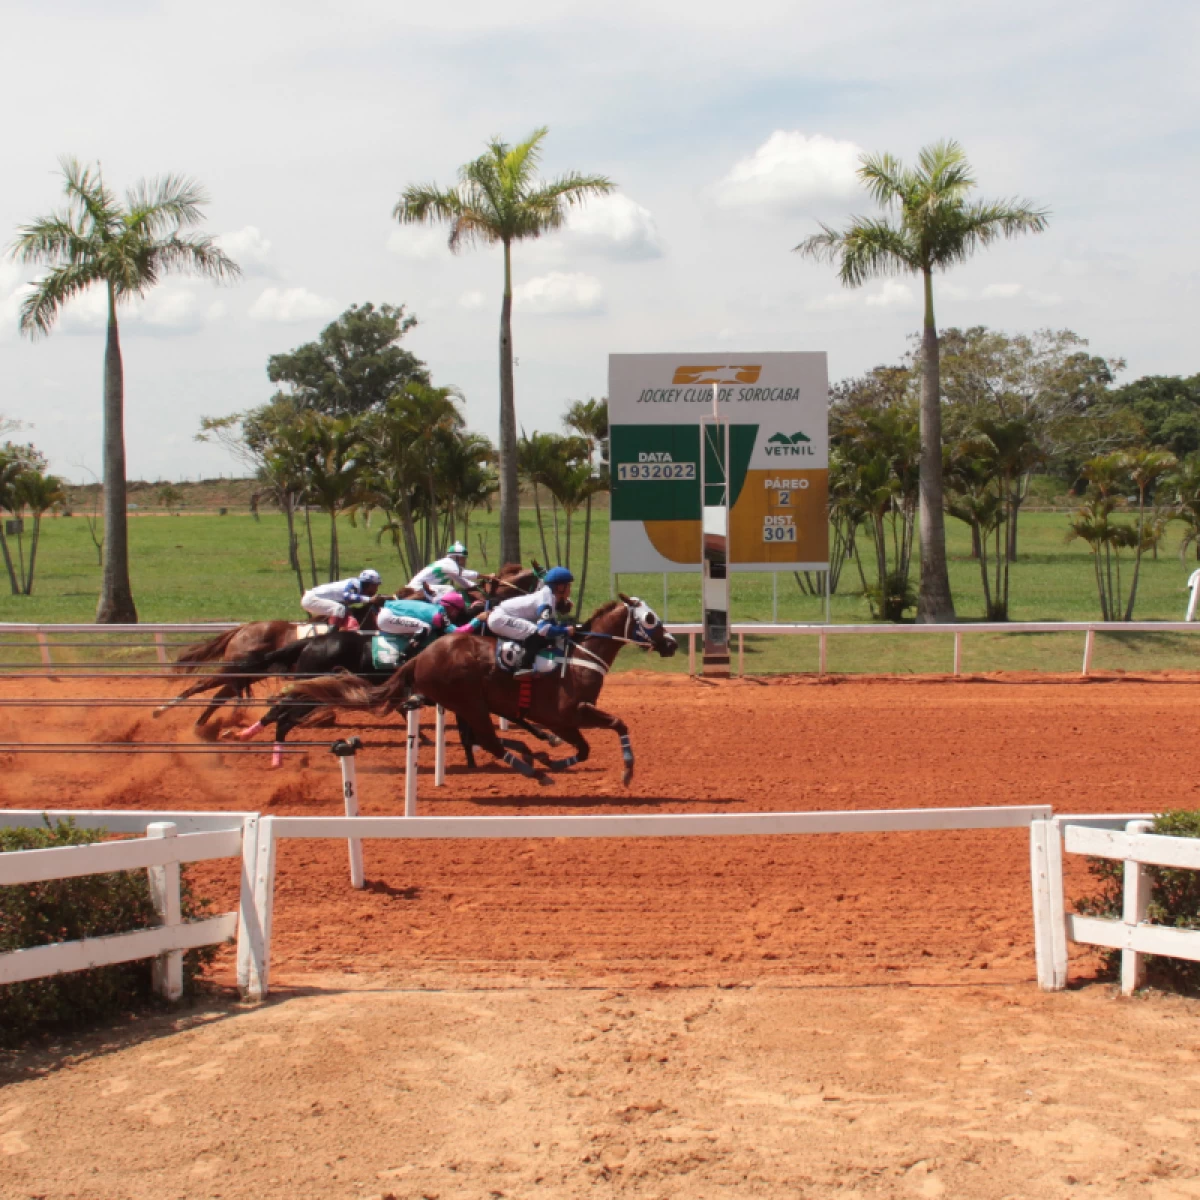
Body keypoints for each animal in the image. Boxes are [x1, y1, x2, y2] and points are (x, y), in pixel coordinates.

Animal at [259, 592, 676, 787]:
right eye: (650, 618)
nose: (672, 644)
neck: (578, 658)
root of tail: (419, 659)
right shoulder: (568, 713)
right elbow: (617, 724)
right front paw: (625, 771)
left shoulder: (558, 718)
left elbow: (582, 746)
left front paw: (553, 758)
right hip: (468, 702)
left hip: (467, 703)